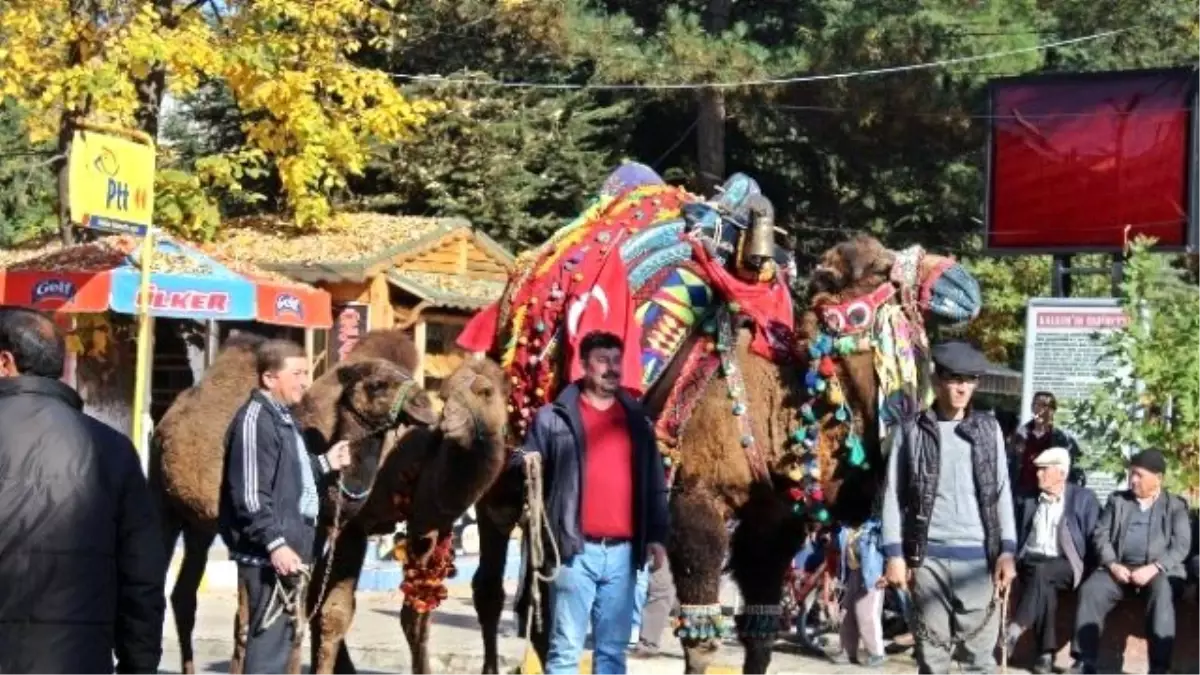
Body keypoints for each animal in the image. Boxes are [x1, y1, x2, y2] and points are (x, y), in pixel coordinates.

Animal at [150, 326, 506, 672]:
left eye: (488, 391)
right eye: (447, 394)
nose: (430, 409)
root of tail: (170, 417)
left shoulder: (424, 526)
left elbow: (411, 615)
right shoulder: (350, 530)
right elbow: (328, 615)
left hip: (199, 524)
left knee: (188, 595)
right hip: (165, 501)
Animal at [460, 164, 984, 672]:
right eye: (878, 268)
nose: (961, 283)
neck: (777, 411)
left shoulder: (773, 526)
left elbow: (760, 635)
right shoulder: (695, 503)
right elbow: (701, 637)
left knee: (546, 596)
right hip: (507, 471)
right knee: (492, 579)